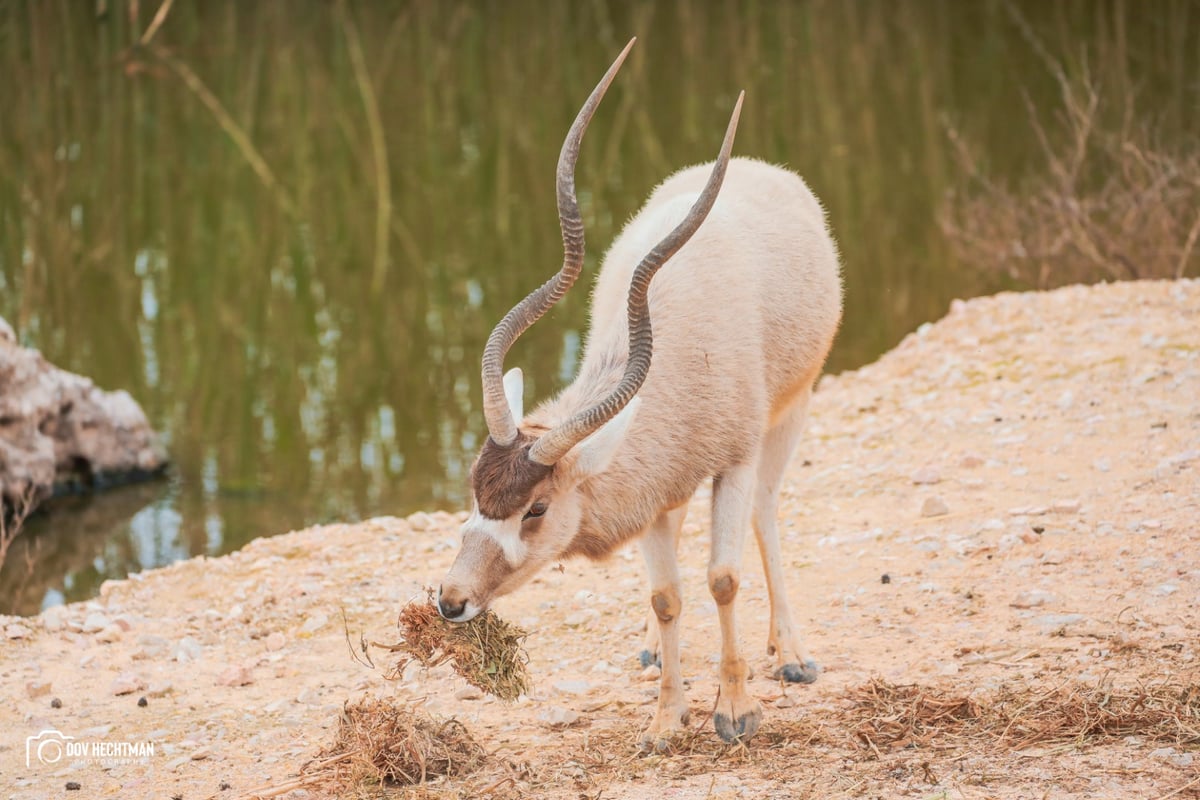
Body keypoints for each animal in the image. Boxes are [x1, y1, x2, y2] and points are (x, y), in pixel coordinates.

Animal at [439, 38, 844, 753]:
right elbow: (668, 595)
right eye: (474, 493)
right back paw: (655, 650)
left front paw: (735, 711)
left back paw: (792, 653)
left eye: (536, 509)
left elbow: (722, 578)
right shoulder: (656, 483)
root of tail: (762, 171)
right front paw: (664, 720)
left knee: (766, 511)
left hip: (792, 407)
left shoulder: (734, 460)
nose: (450, 601)